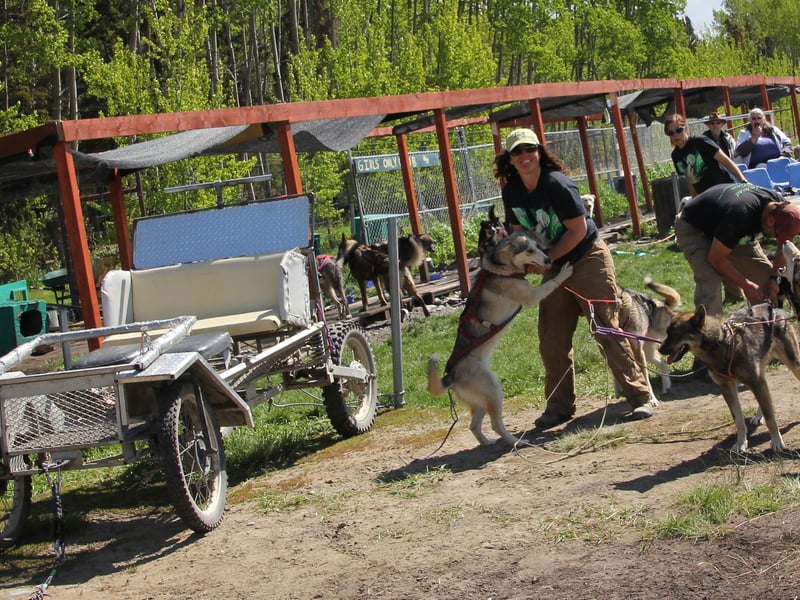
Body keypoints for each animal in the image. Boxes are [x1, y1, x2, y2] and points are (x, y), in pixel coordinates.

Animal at [427, 231, 573, 446]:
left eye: (538, 247)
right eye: (529, 250)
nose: (548, 260)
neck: (503, 269)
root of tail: (450, 377)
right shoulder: (532, 296)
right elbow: (550, 283)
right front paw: (564, 272)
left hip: (481, 401)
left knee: (474, 426)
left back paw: (487, 442)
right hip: (494, 391)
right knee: (496, 424)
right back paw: (516, 442)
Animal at [659, 303, 800, 453]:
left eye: (676, 334)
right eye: (667, 332)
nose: (660, 350)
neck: (720, 343)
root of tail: (775, 307)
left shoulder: (755, 382)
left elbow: (770, 418)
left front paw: (777, 442)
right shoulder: (728, 388)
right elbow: (738, 420)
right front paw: (740, 443)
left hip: (792, 365)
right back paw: (758, 416)